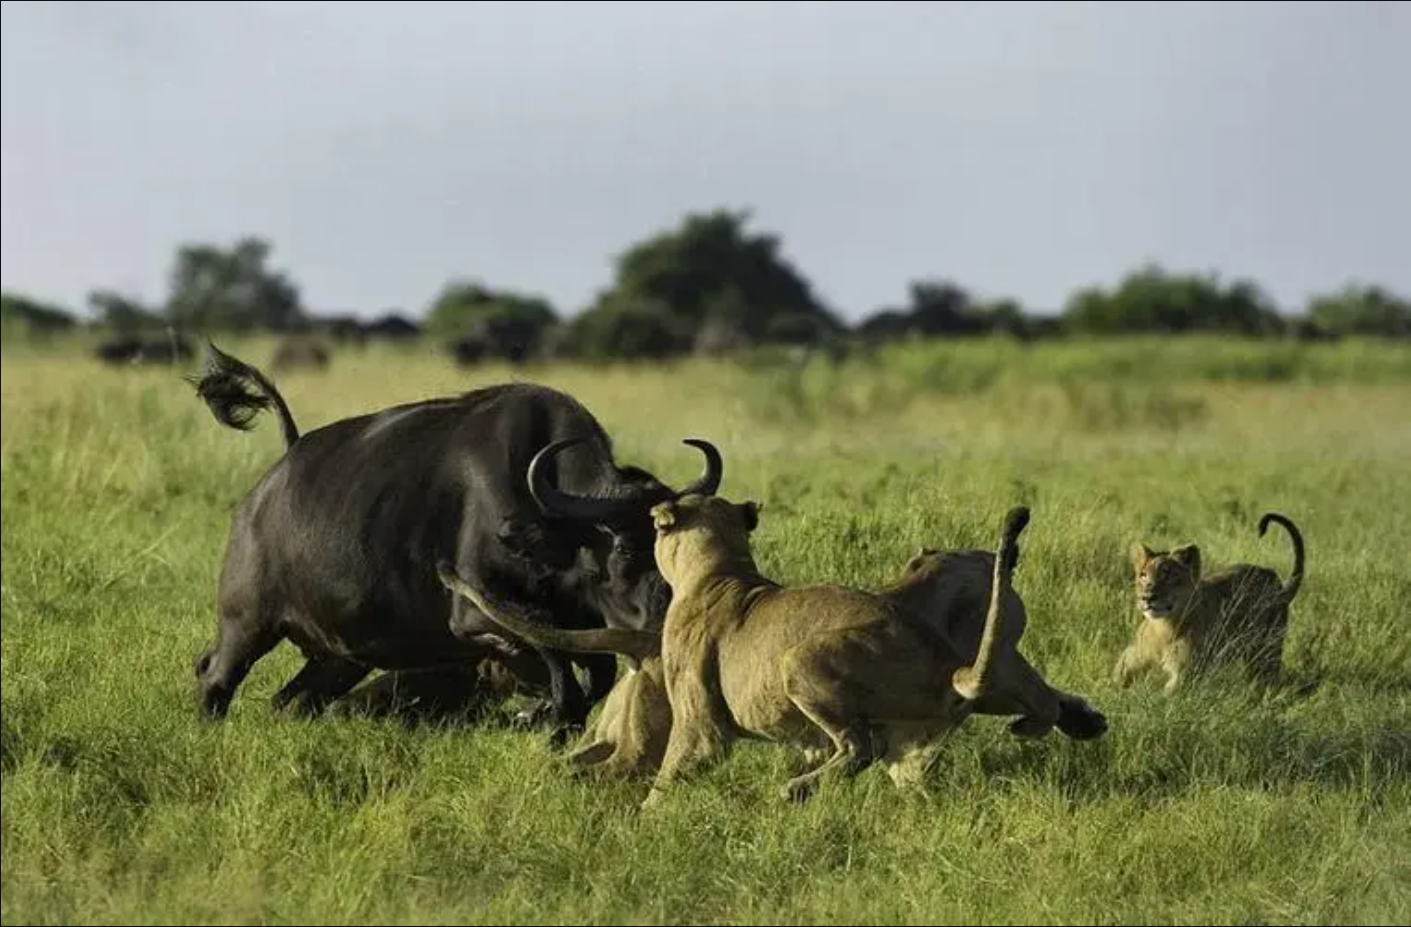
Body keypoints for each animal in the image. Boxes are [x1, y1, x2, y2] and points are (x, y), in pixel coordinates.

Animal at [190, 340, 728, 728]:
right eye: (623, 547)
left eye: (672, 547)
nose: (663, 611)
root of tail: (276, 474)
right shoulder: (476, 614)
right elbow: (555, 665)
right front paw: (540, 712)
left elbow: (590, 676)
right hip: (247, 624)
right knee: (213, 677)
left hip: (340, 657)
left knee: (291, 700)